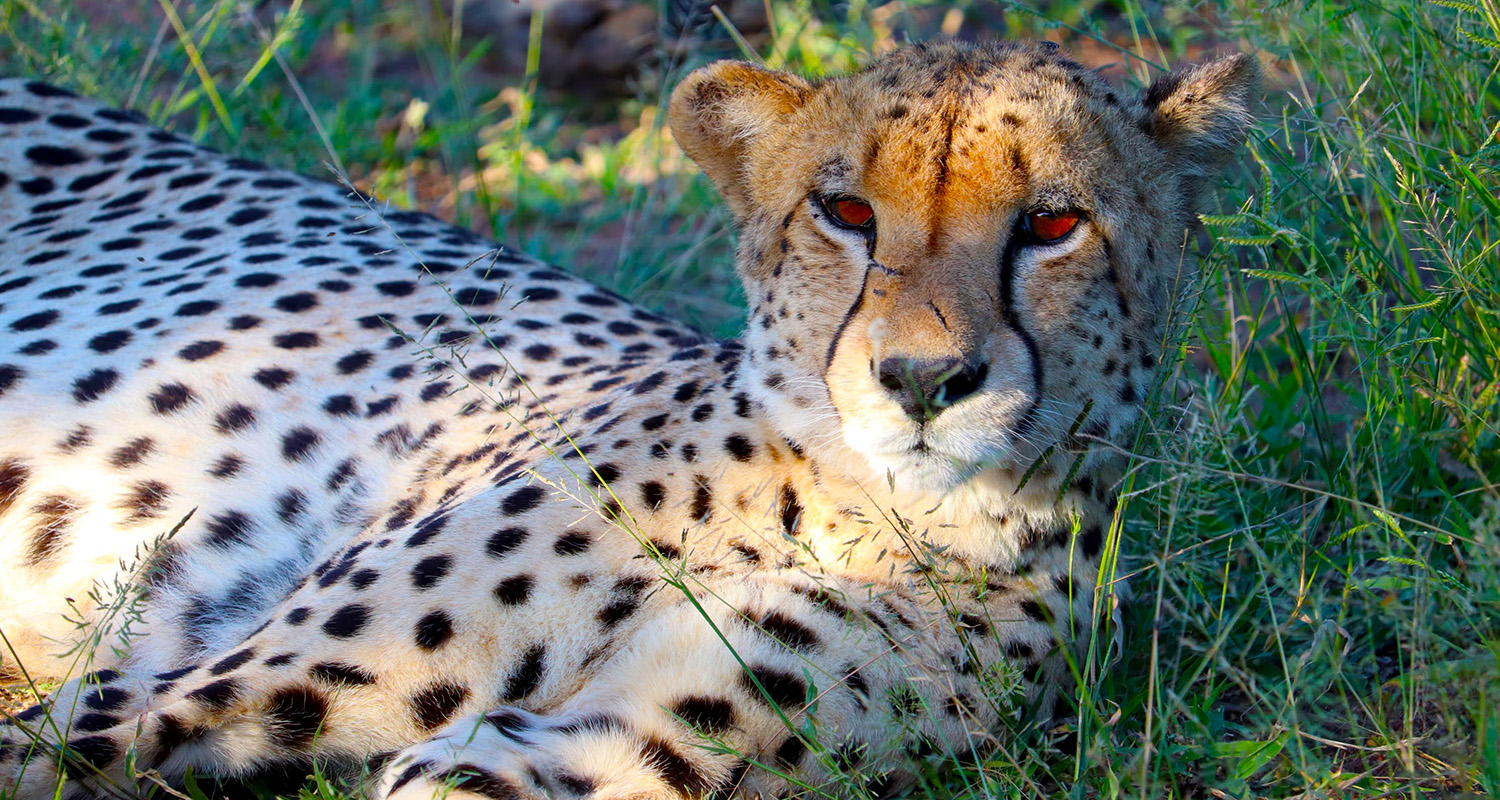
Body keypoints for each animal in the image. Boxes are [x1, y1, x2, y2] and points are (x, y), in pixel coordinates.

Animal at [0, 40, 1258, 800]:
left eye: (1051, 224)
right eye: (846, 212)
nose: (923, 378)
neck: (864, 512)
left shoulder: (604, 753)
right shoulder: (184, 681)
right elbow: (50, 748)